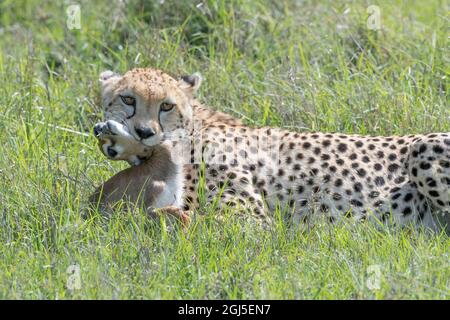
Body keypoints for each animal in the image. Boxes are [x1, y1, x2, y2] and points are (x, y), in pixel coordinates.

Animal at [92, 67, 450, 230]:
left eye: (166, 105)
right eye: (128, 99)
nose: (144, 131)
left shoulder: (250, 218)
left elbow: (185, 215)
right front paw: (117, 142)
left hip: (424, 148)